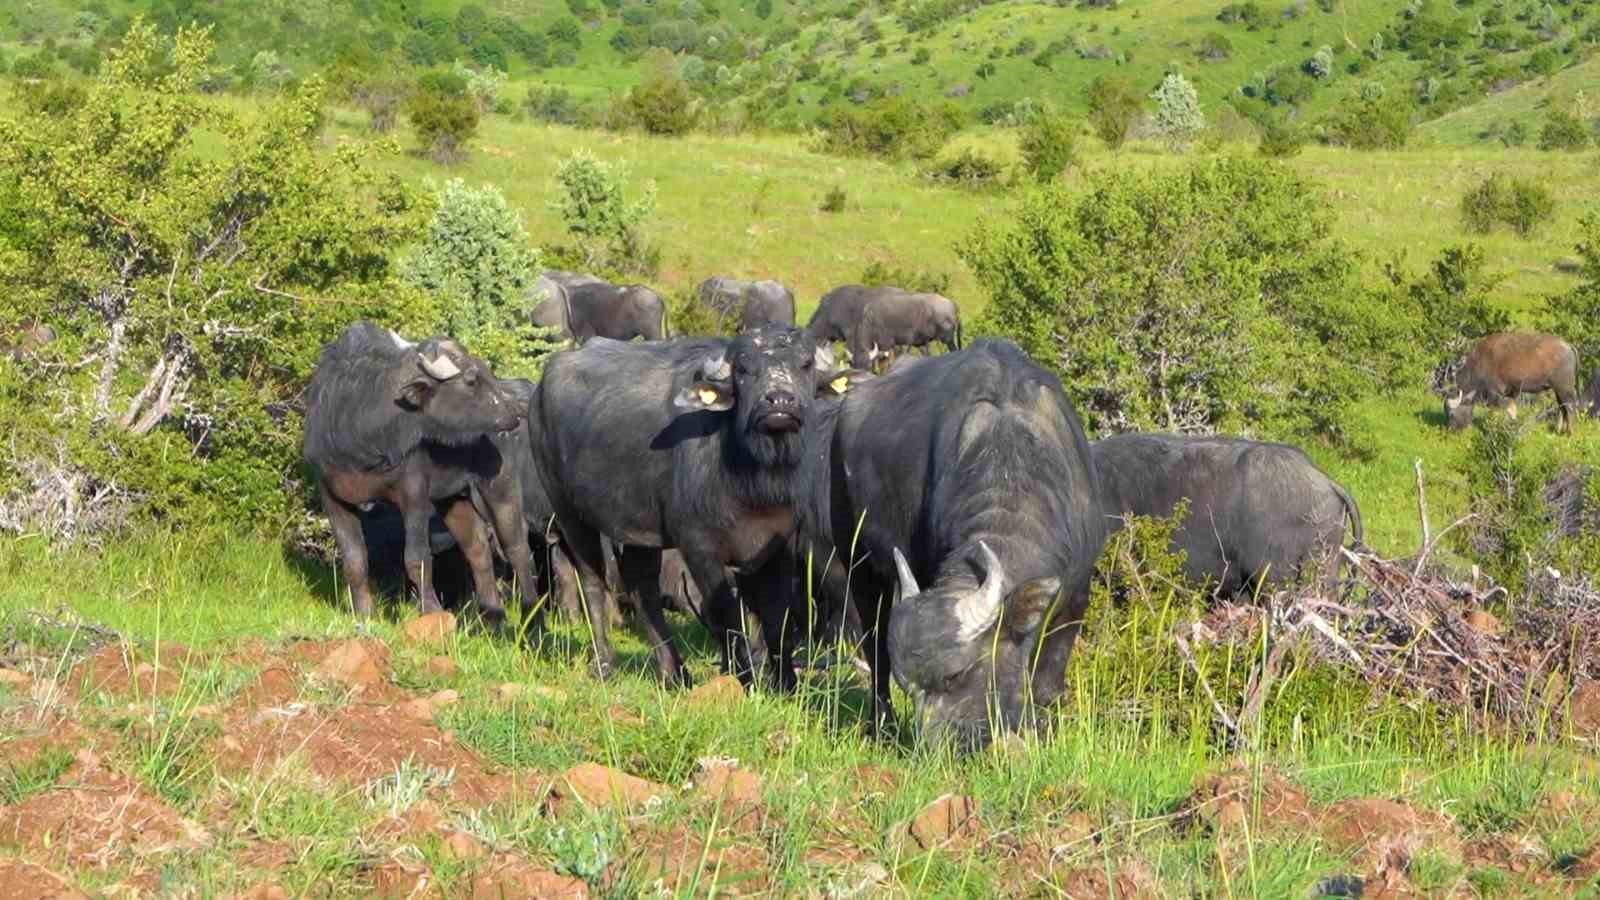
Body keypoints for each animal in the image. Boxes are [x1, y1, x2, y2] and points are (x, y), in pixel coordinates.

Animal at [302, 320, 540, 624]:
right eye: (471, 380)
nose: (514, 410)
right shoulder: (332, 497)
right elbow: (354, 560)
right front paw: (365, 613)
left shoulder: (413, 495)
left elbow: (417, 558)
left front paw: (432, 612)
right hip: (454, 499)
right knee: (478, 550)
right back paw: (493, 616)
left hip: (500, 486)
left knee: (517, 548)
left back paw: (532, 613)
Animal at [531, 325, 851, 682]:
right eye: (744, 369)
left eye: (805, 364)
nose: (779, 401)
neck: (753, 482)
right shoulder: (698, 547)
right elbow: (726, 614)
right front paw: (745, 677)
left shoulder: (779, 544)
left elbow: (776, 616)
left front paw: (786, 683)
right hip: (569, 511)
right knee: (592, 581)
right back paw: (605, 664)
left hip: (640, 530)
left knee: (642, 587)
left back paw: (675, 673)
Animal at [806, 336, 1107, 743]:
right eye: (911, 687)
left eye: (957, 674)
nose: (938, 746)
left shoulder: (1076, 597)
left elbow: (1047, 683)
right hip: (859, 564)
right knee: (875, 649)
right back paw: (882, 725)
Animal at [1446, 331, 1580, 432]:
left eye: (1451, 414)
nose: (1452, 430)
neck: (1479, 361)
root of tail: (1568, 346)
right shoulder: (1511, 392)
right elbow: (1511, 409)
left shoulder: (1495, 393)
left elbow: (1503, 409)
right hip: (1558, 390)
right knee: (1563, 408)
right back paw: (1560, 431)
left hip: (1564, 389)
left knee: (1569, 407)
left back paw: (1569, 433)